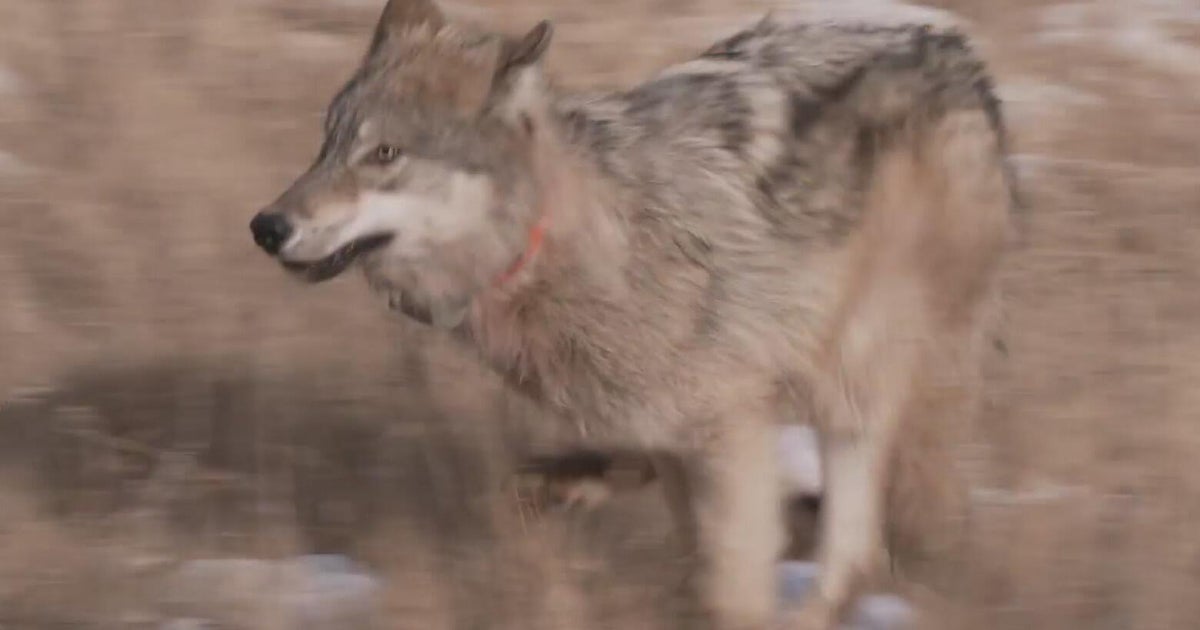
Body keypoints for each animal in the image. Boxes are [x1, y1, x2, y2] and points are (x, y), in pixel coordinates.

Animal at [248, 0, 1016, 627]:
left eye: (384, 154)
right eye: (326, 146)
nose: (266, 227)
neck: (558, 247)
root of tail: (961, 57)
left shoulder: (728, 430)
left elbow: (733, 586)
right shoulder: (675, 432)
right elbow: (694, 552)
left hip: (855, 373)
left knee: (855, 550)